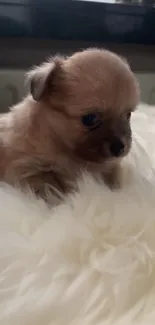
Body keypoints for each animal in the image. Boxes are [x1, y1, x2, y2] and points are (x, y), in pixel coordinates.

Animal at [0, 46, 139, 196]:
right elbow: (51, 188)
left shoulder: (112, 168)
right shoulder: (26, 169)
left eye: (128, 115)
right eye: (90, 119)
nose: (119, 147)